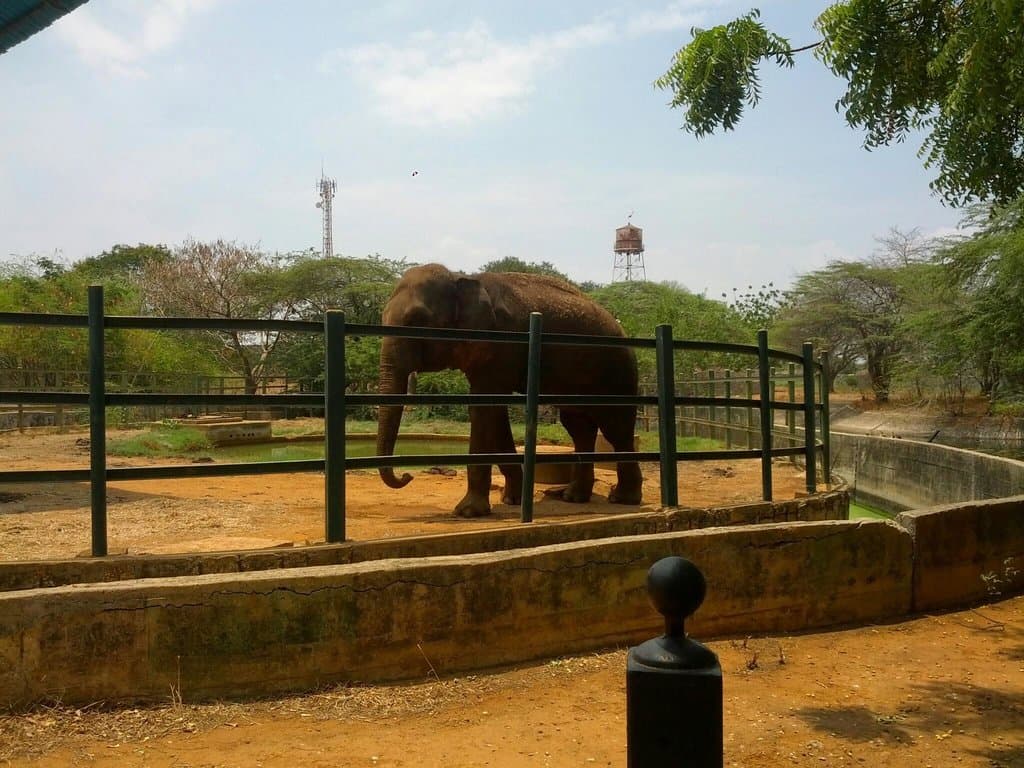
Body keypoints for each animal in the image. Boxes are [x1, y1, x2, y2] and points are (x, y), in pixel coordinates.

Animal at [375, 263, 644, 517]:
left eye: (416, 320)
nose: (407, 476)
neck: (463, 277)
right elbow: (494, 413)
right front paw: (512, 500)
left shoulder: (502, 343)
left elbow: (483, 410)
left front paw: (468, 512)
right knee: (578, 426)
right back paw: (573, 497)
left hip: (617, 371)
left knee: (615, 427)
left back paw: (622, 499)